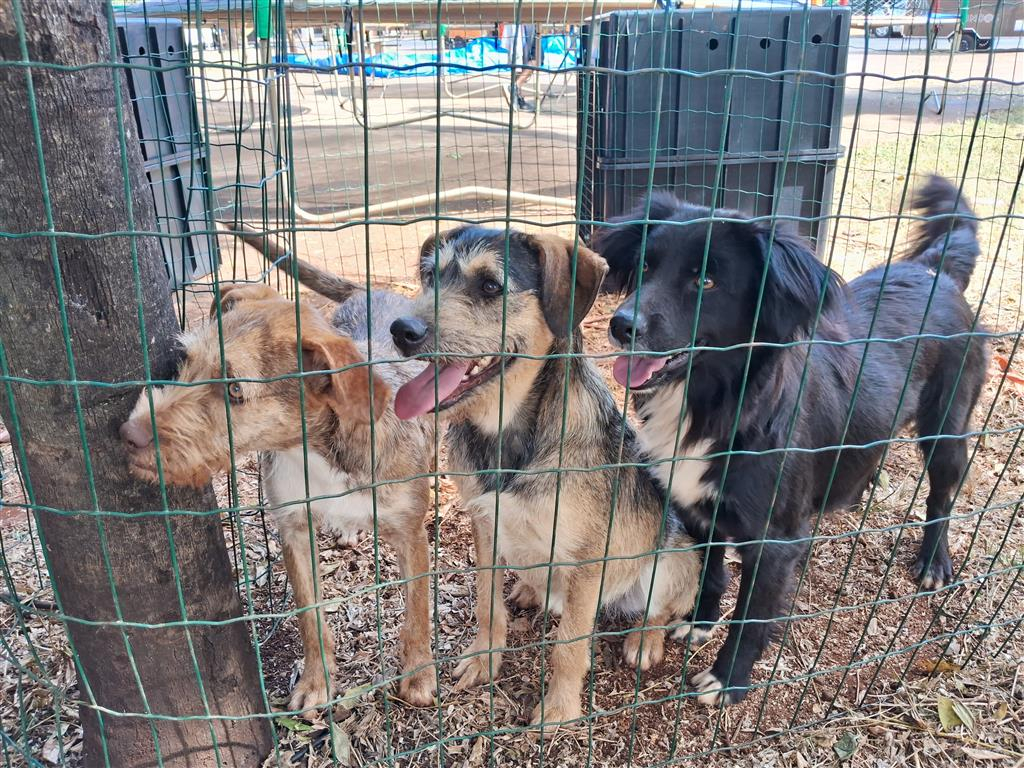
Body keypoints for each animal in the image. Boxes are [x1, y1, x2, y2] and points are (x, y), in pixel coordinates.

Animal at [387, 227, 700, 729]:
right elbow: (486, 605)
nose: (401, 330)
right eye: (430, 276)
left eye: (490, 286)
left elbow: (568, 646)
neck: (510, 433)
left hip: (675, 557)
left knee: (662, 611)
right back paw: (530, 590)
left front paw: (559, 709)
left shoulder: (590, 557)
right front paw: (485, 658)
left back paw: (644, 640)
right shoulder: (485, 523)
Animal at [598, 177, 987, 708]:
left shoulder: (776, 542)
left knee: (942, 497)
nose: (621, 324)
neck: (721, 402)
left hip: (946, 427)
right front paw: (700, 623)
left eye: (706, 282)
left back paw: (934, 561)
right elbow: (710, 573)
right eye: (645, 267)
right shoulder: (697, 508)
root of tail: (935, 272)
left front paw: (728, 679)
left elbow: (752, 617)